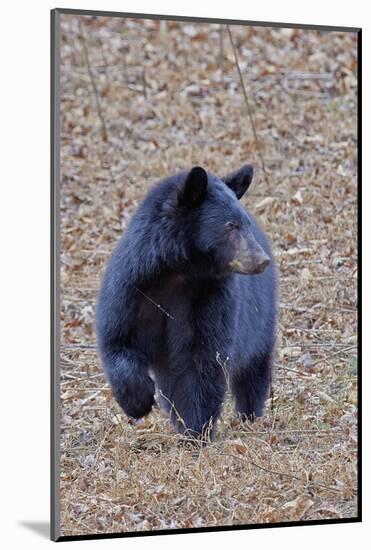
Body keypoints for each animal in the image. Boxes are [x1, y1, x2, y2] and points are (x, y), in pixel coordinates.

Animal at [97, 166, 278, 442]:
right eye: (231, 226)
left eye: (244, 224)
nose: (261, 260)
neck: (177, 270)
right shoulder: (131, 288)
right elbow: (118, 339)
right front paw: (138, 402)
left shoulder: (209, 296)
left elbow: (202, 357)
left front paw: (196, 429)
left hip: (260, 318)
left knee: (253, 369)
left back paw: (248, 415)